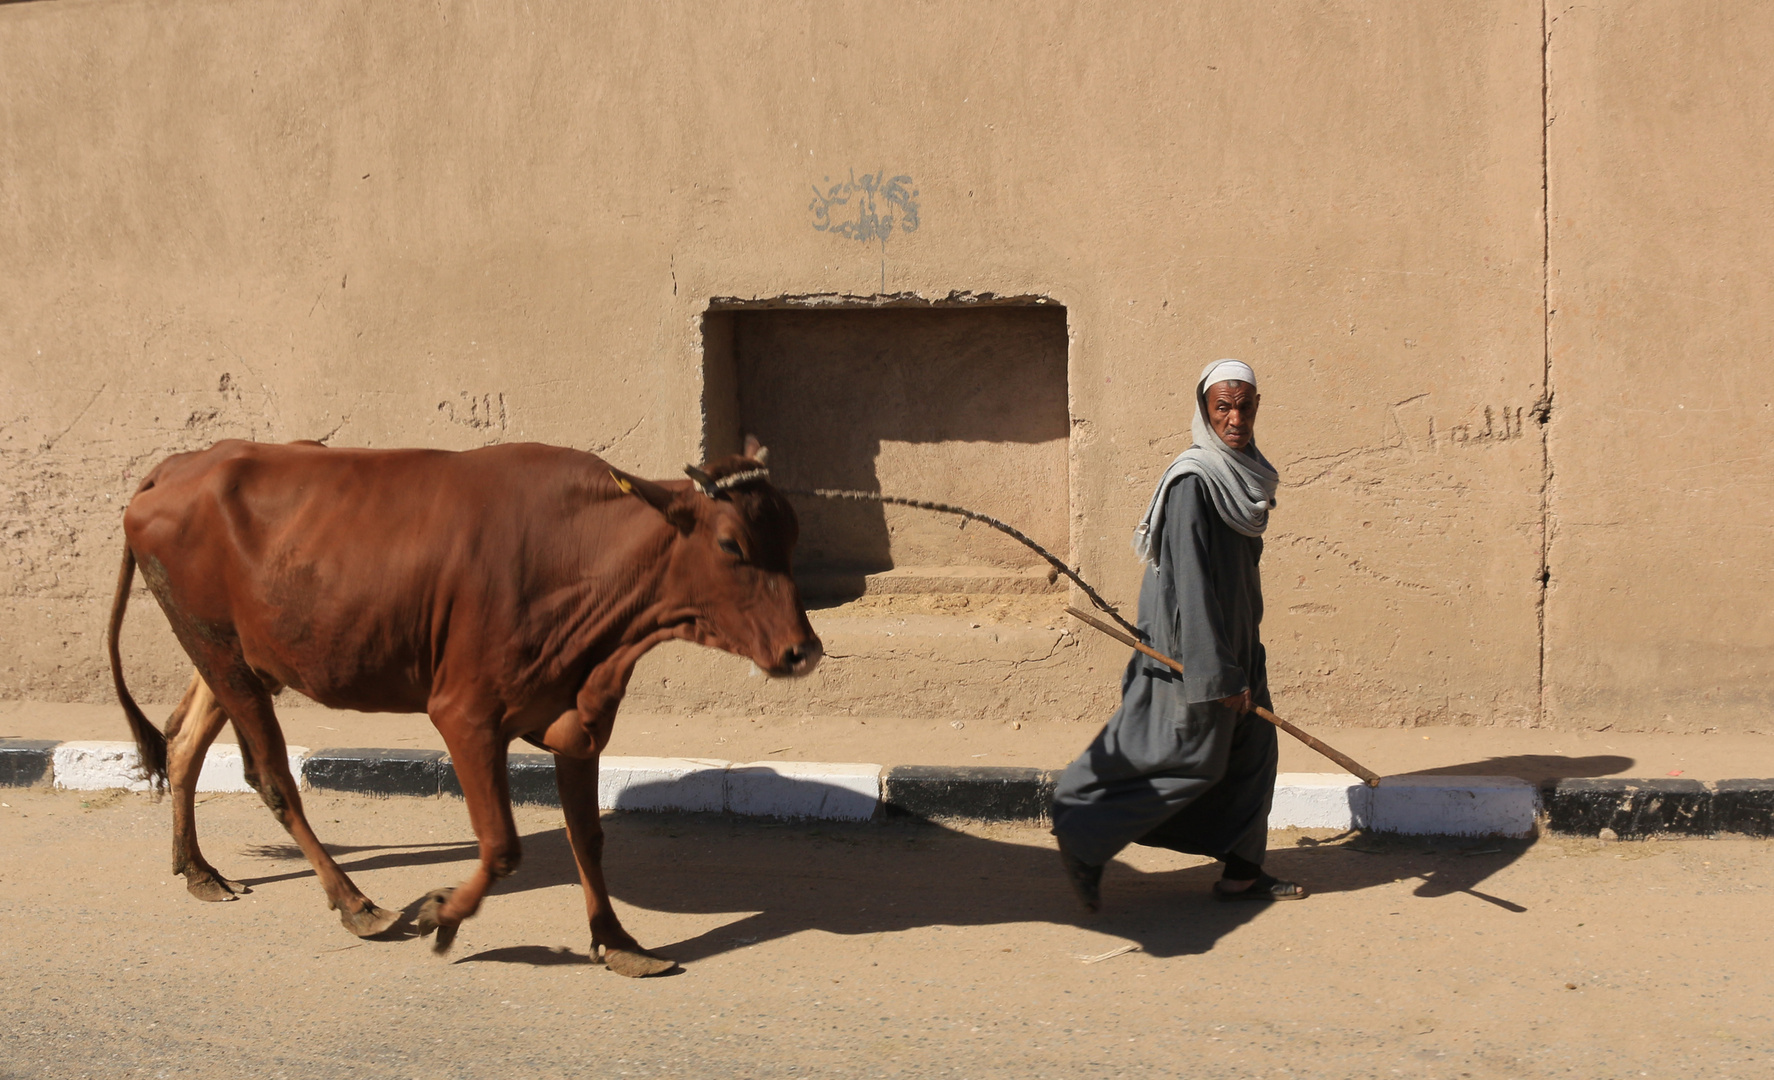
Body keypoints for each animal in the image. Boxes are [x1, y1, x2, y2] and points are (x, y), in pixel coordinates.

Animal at [114, 434, 819, 971]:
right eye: (731, 544)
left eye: (792, 535)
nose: (803, 650)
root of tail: (178, 465)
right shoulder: (465, 713)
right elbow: (502, 846)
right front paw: (442, 914)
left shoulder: (578, 717)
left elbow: (587, 836)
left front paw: (617, 941)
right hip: (218, 649)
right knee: (270, 776)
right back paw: (356, 905)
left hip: (235, 656)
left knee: (183, 743)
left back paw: (197, 870)